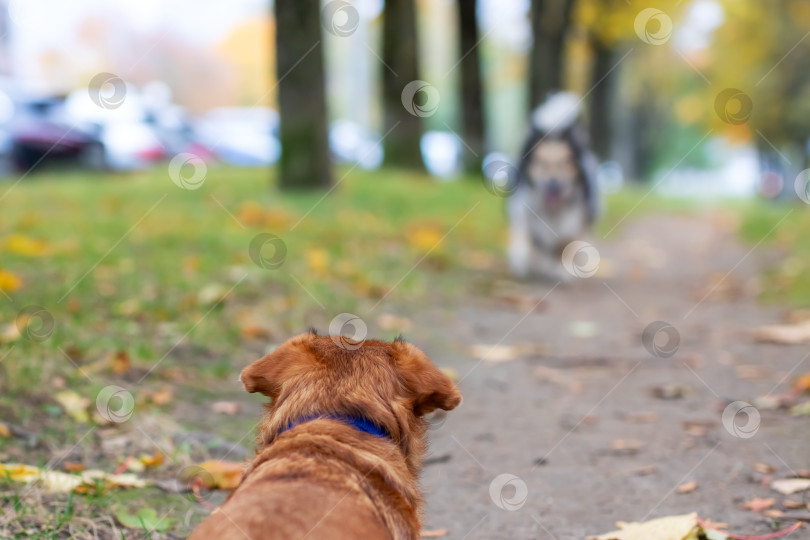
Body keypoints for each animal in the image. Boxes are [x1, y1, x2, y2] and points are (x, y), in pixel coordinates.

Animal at [504, 92, 600, 282]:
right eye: (541, 163)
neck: (552, 210)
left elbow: (563, 245)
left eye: (565, 164)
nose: (553, 184)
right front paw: (521, 260)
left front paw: (562, 271)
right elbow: (523, 236)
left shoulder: (572, 223)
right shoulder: (522, 210)